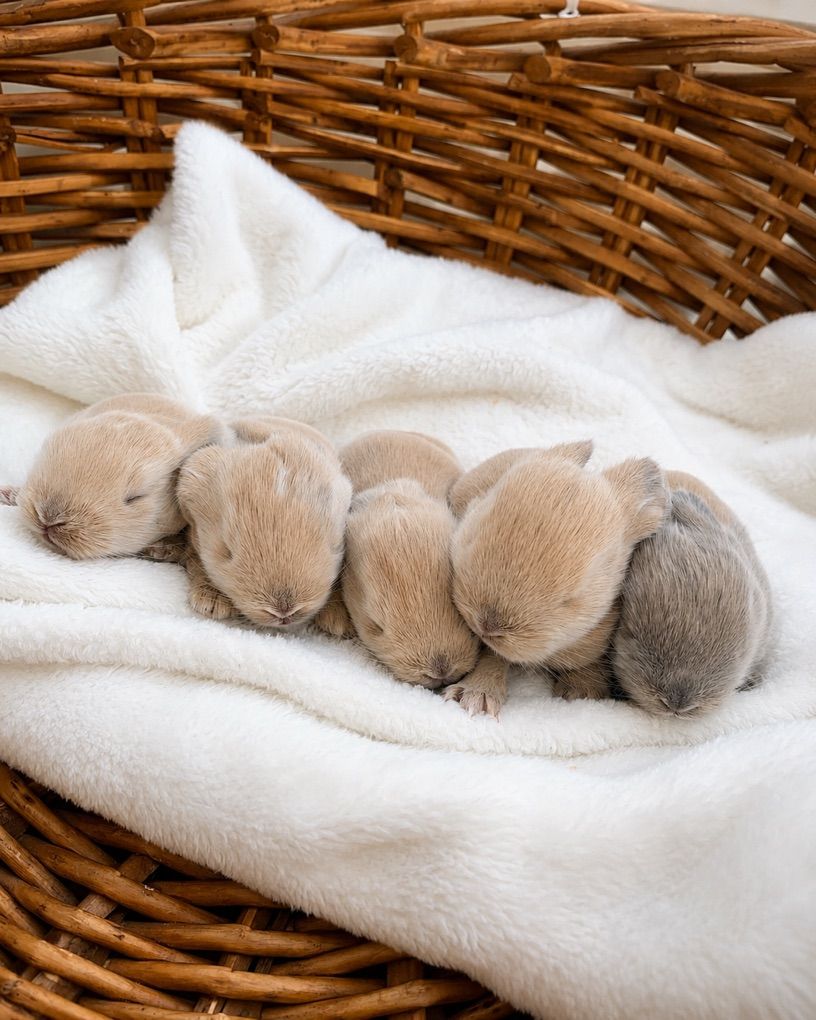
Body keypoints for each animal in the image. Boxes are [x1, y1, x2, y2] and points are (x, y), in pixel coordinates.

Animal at [450, 441, 669, 707]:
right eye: (471, 538)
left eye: (572, 599)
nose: (487, 625)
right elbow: (492, 659)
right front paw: (476, 698)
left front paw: (579, 692)